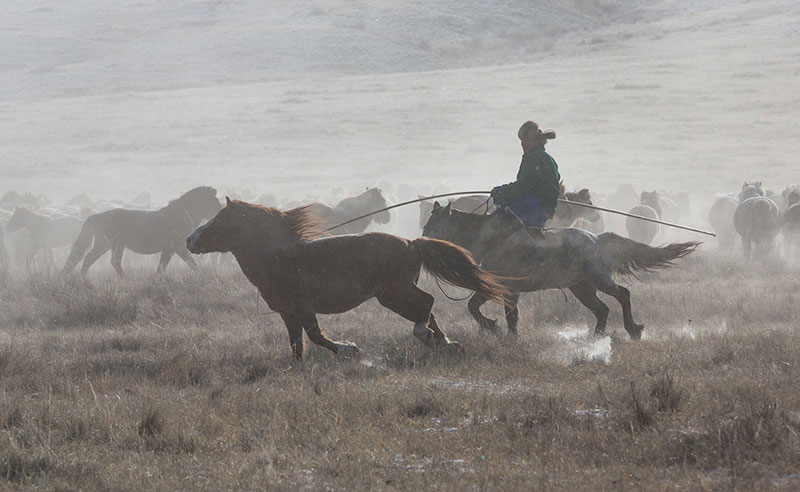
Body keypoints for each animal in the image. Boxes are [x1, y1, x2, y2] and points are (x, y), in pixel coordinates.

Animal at [61, 186, 221, 276]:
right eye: (212, 200)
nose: (220, 211)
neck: (184, 213)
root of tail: (99, 215)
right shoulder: (176, 246)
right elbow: (187, 263)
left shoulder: (171, 248)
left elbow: (165, 265)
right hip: (112, 244)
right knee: (108, 261)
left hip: (107, 245)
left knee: (92, 259)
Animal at [186, 198, 508, 359]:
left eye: (221, 219)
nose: (189, 239)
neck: (278, 258)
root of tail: (412, 242)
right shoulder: (288, 313)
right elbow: (296, 344)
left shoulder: (304, 308)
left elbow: (315, 336)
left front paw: (349, 349)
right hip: (394, 295)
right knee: (426, 309)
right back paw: (445, 343)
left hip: (394, 292)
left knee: (425, 304)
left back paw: (428, 336)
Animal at [423, 202, 699, 340]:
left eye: (437, 223)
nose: (422, 240)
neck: (490, 239)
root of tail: (596, 239)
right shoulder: (496, 287)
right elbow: (475, 307)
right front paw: (493, 327)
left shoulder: (509, 289)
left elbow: (508, 314)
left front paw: (504, 333)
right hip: (581, 287)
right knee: (602, 309)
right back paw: (596, 337)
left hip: (599, 279)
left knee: (622, 294)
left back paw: (633, 329)